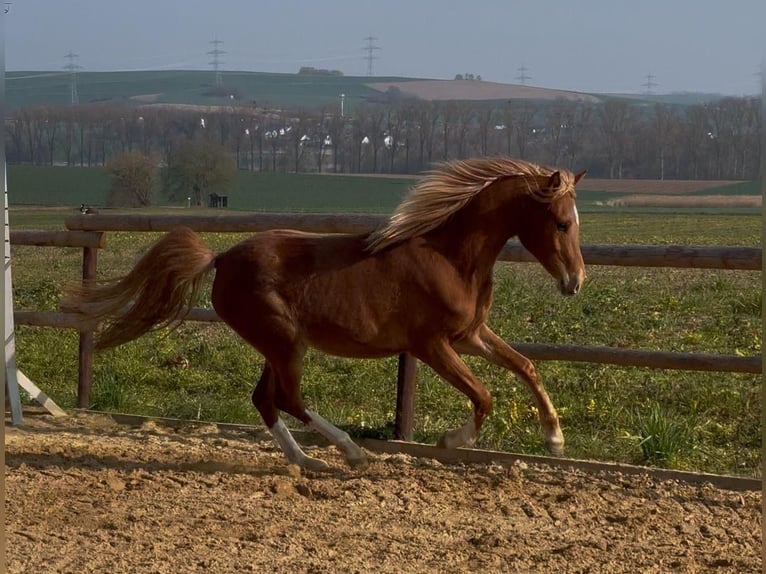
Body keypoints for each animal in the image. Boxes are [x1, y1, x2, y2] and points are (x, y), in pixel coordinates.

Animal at [62, 157, 586, 471]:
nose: (575, 281)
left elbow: (526, 366)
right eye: (562, 223)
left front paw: (555, 439)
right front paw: (450, 443)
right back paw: (350, 451)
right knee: (289, 399)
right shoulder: (431, 345)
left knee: (266, 400)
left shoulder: (470, 334)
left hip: (275, 345)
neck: (450, 256)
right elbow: (484, 394)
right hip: (283, 343)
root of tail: (221, 257)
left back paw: (306, 462)